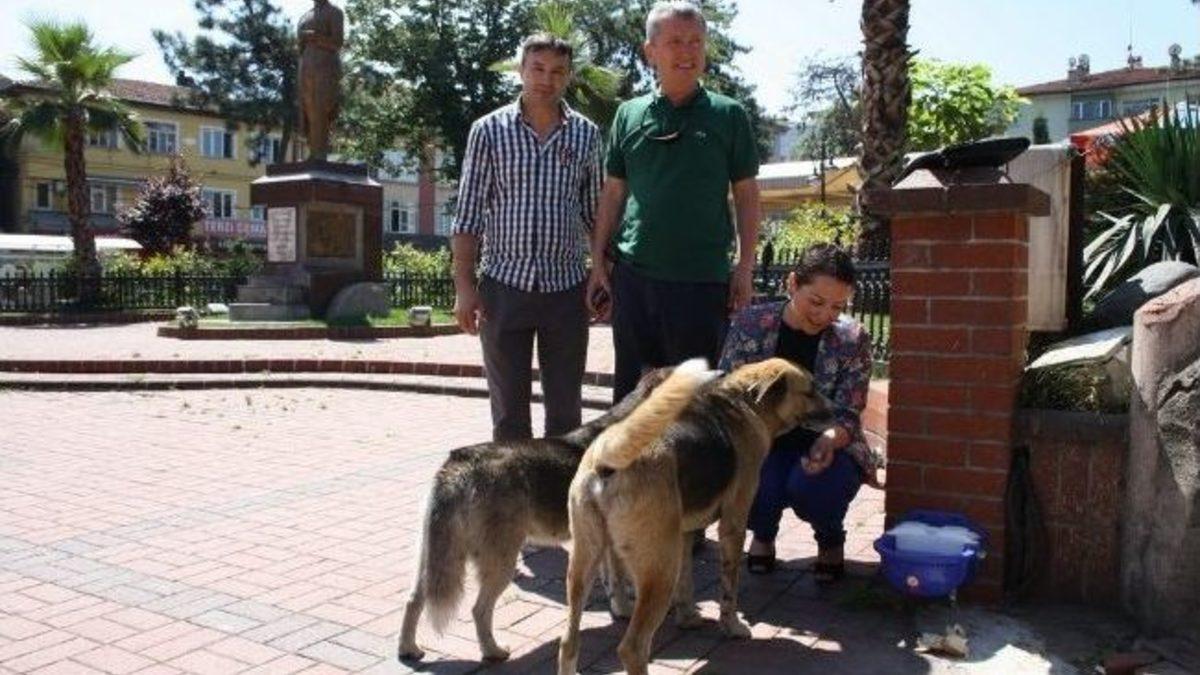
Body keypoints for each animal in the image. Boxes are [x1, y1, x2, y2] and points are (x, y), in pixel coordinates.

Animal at [397, 367, 671, 662]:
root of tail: (458, 463)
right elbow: (620, 583)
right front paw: (624, 610)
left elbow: (611, 580)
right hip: (500, 562)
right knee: (478, 610)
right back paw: (493, 651)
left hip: (438, 558)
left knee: (413, 600)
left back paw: (408, 648)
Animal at [557, 357, 833, 675]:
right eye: (810, 391)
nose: (841, 412)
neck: (744, 403)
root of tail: (607, 459)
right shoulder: (734, 524)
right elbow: (729, 587)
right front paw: (732, 626)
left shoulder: (684, 534)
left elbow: (687, 583)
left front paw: (687, 618)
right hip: (659, 569)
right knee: (633, 648)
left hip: (584, 564)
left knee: (568, 642)